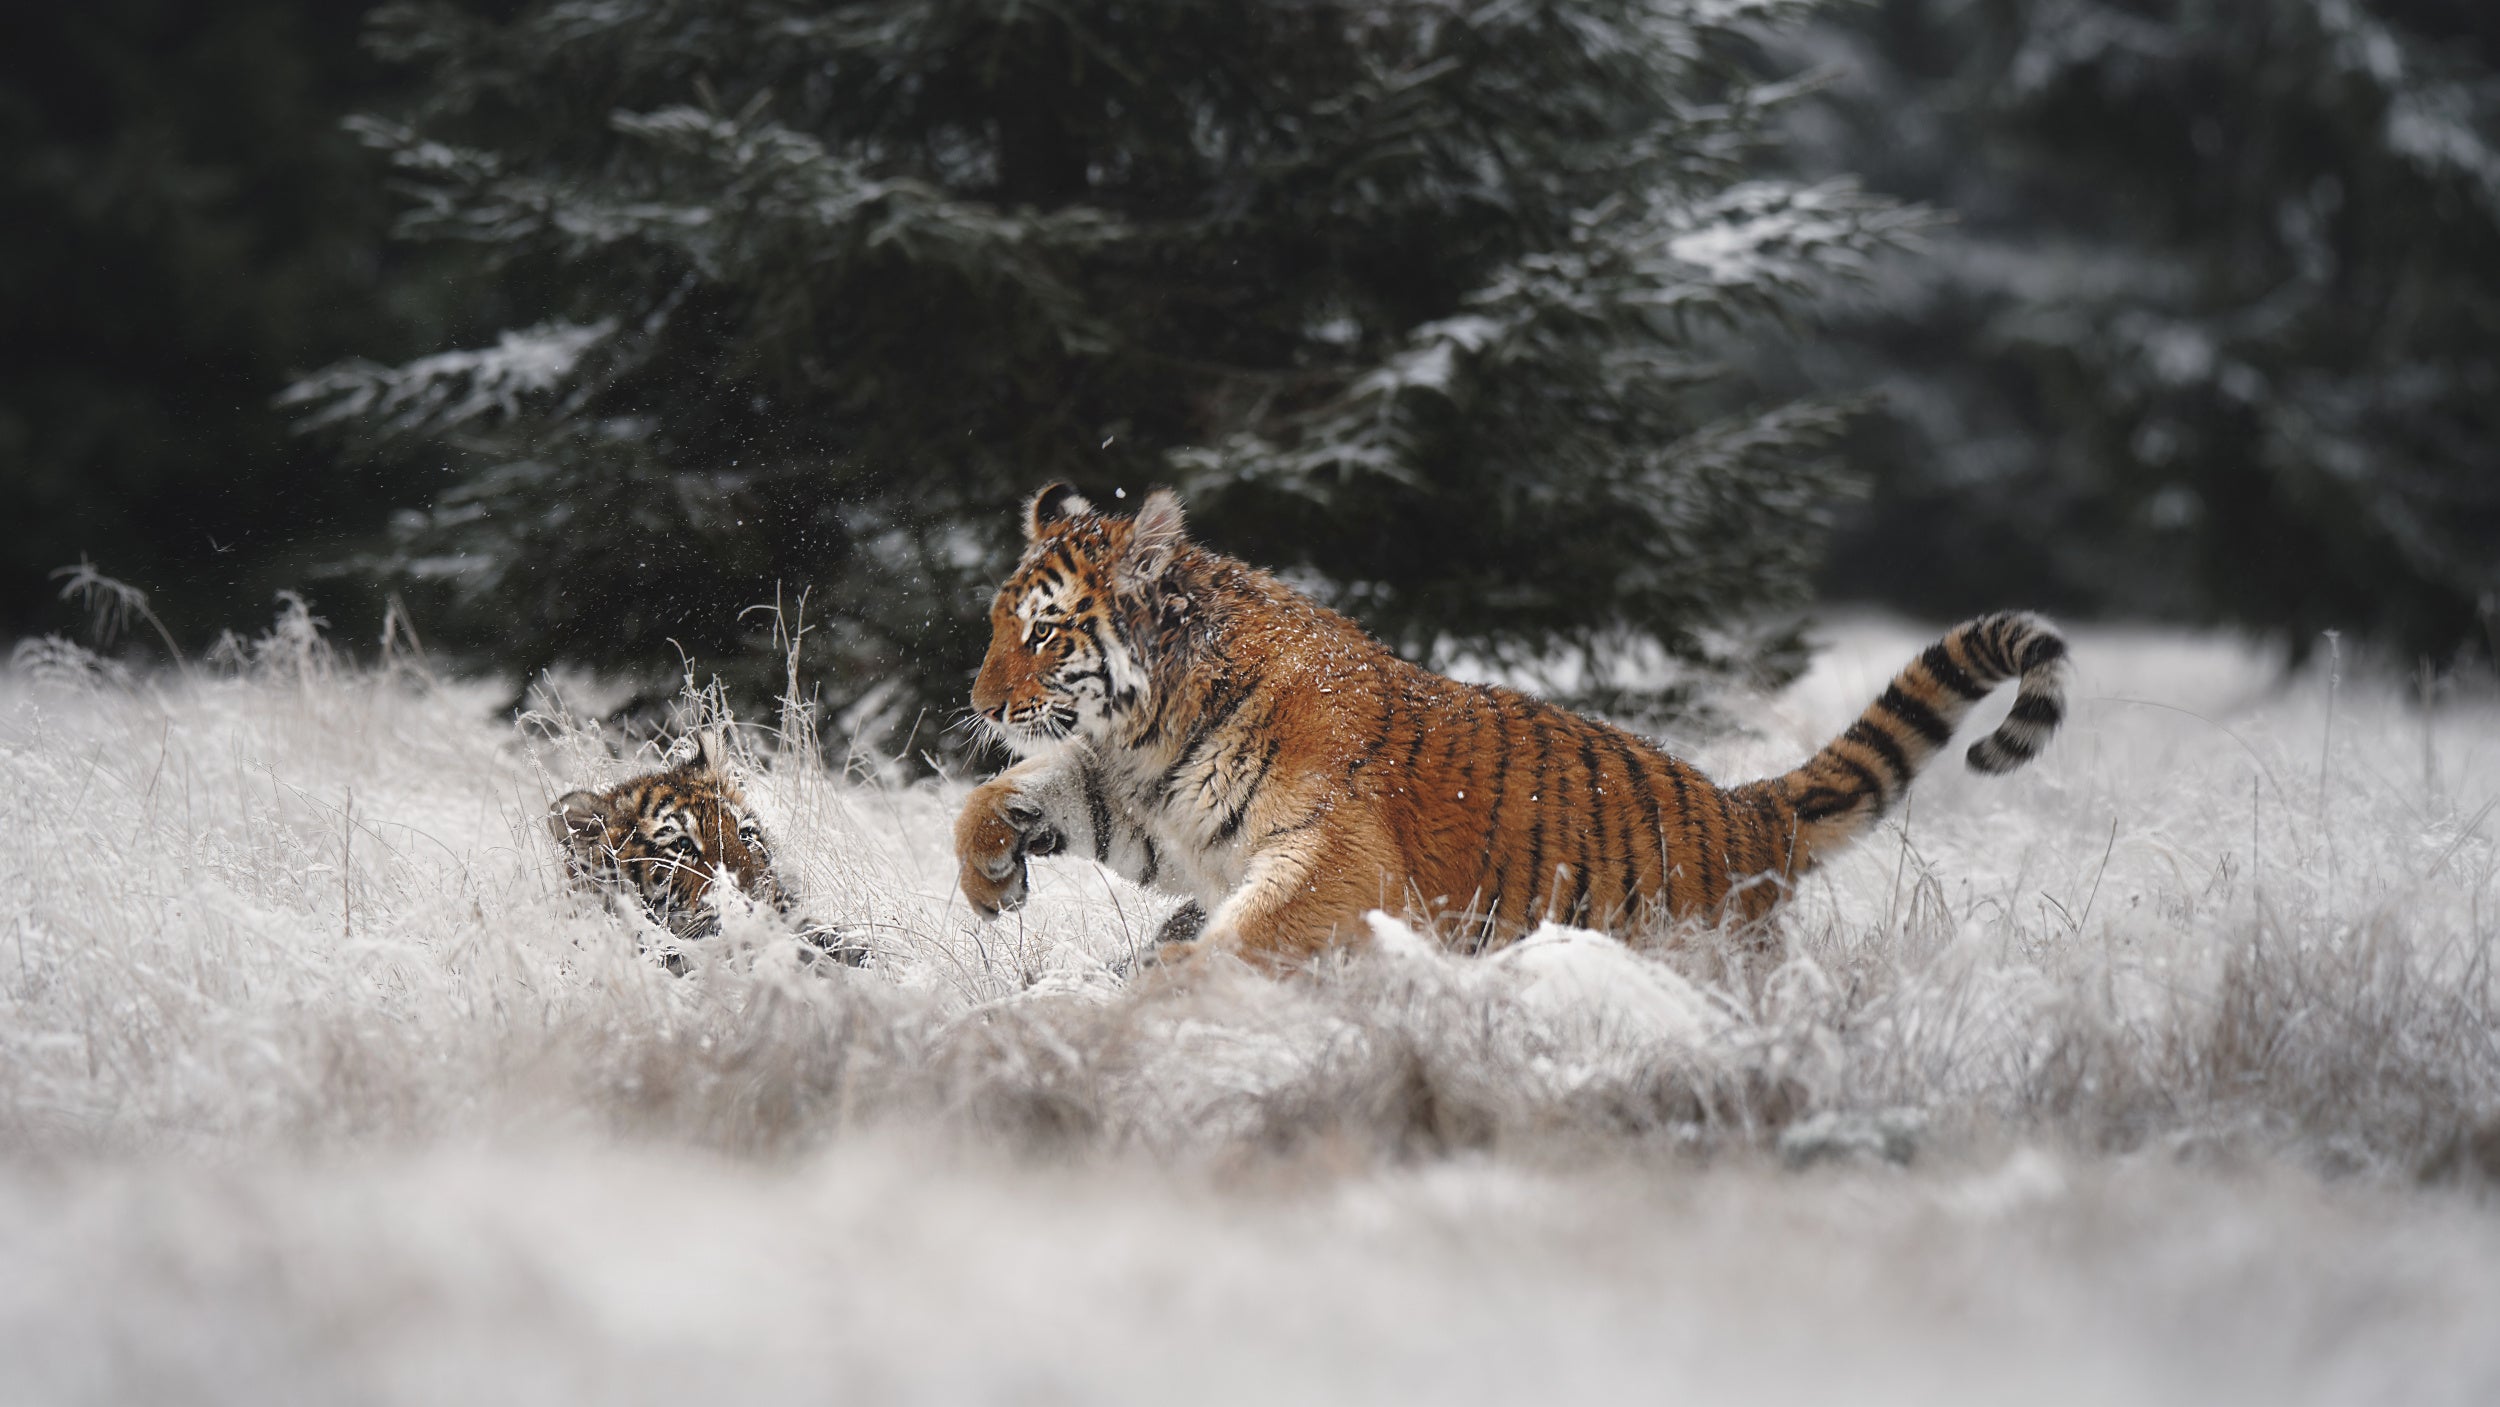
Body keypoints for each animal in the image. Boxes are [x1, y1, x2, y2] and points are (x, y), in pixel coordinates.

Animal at [955, 484, 2070, 969]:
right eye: (998, 623)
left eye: (1045, 633)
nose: (982, 704)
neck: (1154, 723)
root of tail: (1751, 810)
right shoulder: (1146, 803)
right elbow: (1005, 793)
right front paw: (991, 878)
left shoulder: (1335, 854)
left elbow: (1252, 932)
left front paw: (1166, 982)